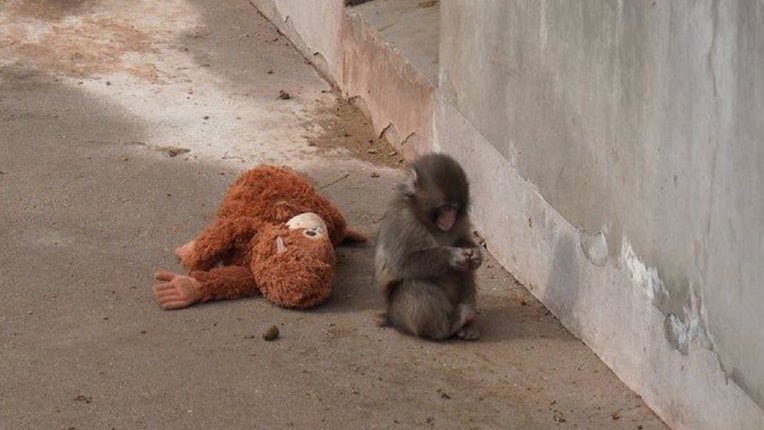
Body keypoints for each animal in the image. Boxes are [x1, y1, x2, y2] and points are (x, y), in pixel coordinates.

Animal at [375, 153, 482, 341]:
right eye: (446, 208)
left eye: (455, 209)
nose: (450, 218)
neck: (428, 222)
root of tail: (390, 316)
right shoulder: (402, 221)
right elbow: (402, 263)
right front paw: (452, 256)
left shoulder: (461, 221)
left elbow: (463, 240)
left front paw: (476, 254)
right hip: (400, 314)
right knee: (415, 284)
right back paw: (447, 327)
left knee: (466, 272)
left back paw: (468, 325)